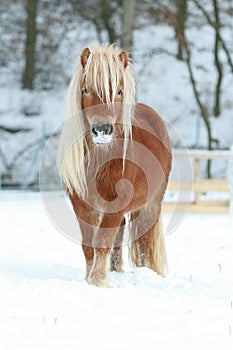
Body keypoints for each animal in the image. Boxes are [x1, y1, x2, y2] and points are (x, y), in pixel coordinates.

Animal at [57, 44, 171, 288]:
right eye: (86, 89)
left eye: (119, 91)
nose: (102, 130)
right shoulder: (81, 204)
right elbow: (89, 245)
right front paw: (91, 278)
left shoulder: (116, 204)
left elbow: (101, 241)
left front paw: (98, 282)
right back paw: (115, 271)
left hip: (150, 205)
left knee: (144, 241)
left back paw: (143, 273)